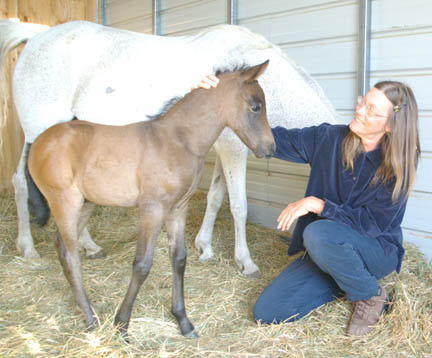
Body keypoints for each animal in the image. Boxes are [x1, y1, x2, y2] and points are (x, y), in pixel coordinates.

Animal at [0, 19, 338, 276]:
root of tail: (38, 35)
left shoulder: (221, 149)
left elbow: (215, 198)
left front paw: (204, 247)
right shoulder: (233, 148)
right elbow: (238, 206)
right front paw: (246, 262)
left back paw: (88, 246)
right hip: (40, 132)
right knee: (23, 183)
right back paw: (29, 247)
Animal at [26, 60, 274, 338]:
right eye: (255, 106)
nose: (270, 147)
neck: (178, 140)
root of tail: (37, 141)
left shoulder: (178, 208)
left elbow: (179, 259)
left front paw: (183, 321)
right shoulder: (152, 209)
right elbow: (142, 264)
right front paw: (122, 323)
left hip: (85, 205)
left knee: (61, 246)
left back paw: (83, 308)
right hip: (65, 202)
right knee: (70, 256)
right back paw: (90, 319)